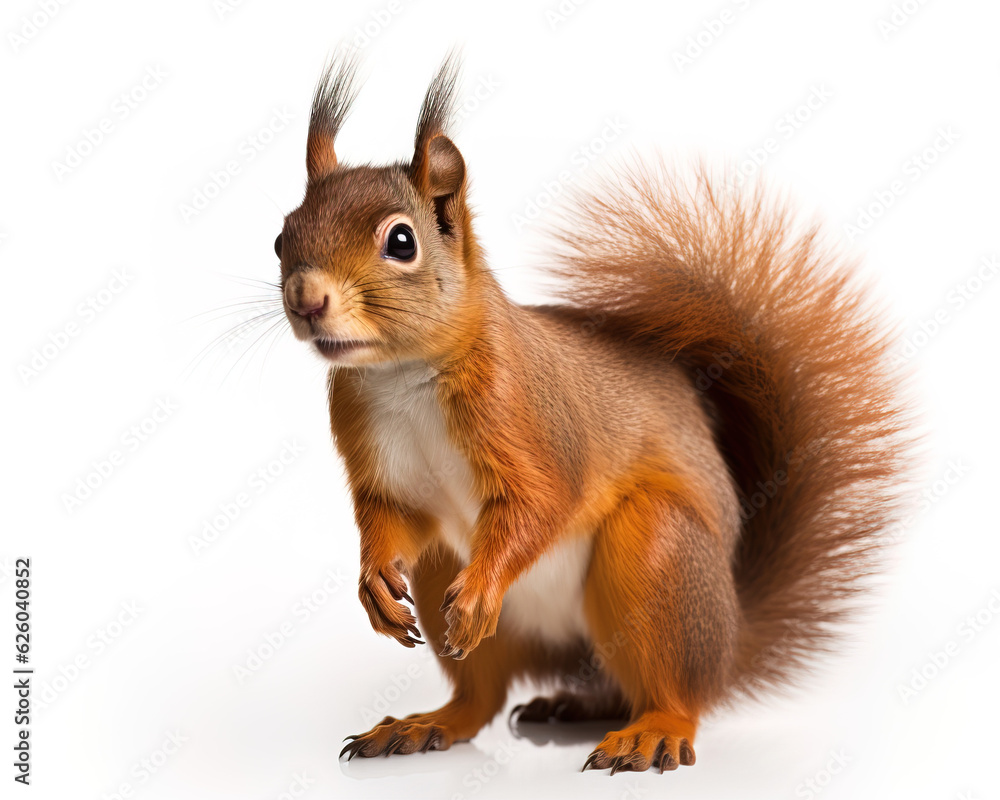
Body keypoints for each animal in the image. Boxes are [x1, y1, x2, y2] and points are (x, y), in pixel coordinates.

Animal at [273, 53, 908, 774]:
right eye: (281, 238)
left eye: (400, 241)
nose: (305, 300)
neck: (402, 376)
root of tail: (730, 638)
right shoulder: (376, 455)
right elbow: (390, 518)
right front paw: (374, 584)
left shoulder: (533, 419)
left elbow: (544, 500)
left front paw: (480, 591)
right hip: (448, 572)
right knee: (482, 699)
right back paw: (435, 722)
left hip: (657, 553)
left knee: (675, 692)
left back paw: (651, 729)